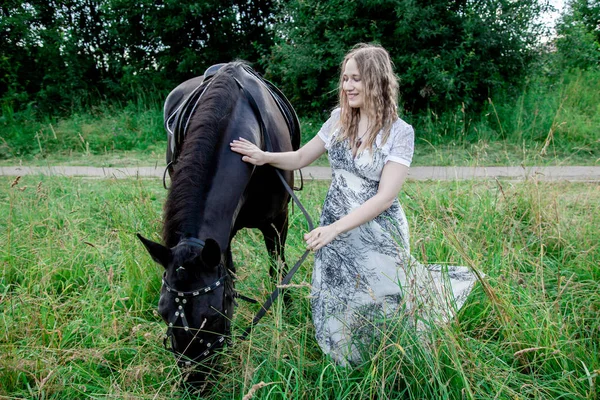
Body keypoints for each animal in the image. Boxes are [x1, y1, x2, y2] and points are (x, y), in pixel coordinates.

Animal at [139, 62, 302, 384]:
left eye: (213, 315)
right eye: (162, 312)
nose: (195, 384)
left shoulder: (277, 222)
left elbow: (278, 269)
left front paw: (286, 313)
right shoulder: (223, 236)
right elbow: (230, 274)